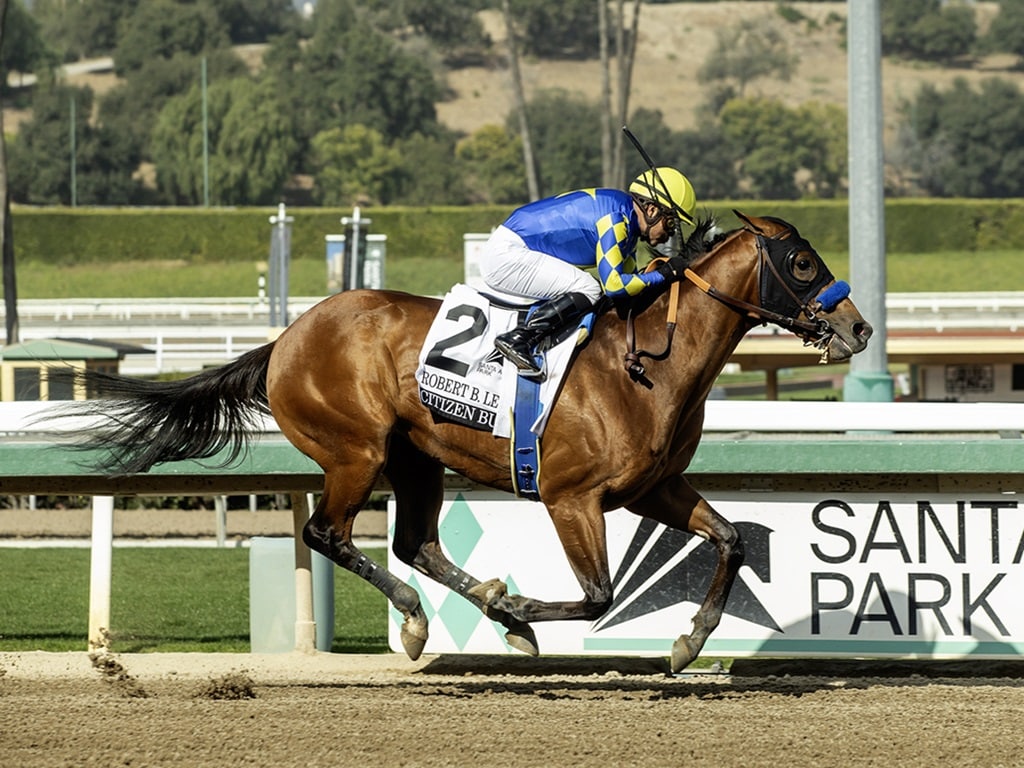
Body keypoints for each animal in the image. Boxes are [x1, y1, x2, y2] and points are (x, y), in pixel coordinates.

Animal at [68, 211, 872, 671]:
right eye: (803, 263)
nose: (859, 327)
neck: (650, 362)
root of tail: (286, 338)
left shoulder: (651, 488)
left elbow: (731, 539)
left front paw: (688, 642)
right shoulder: (570, 496)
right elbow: (598, 596)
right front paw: (518, 613)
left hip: (415, 458)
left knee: (414, 543)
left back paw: (450, 606)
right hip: (356, 452)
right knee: (327, 533)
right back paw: (424, 617)